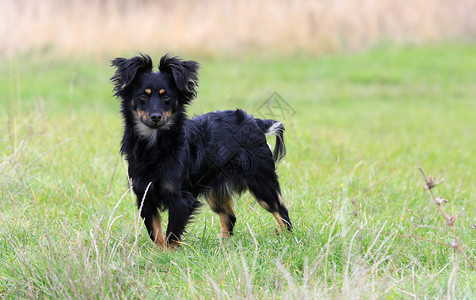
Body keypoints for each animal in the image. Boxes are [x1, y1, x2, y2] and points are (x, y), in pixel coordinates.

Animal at [111, 54, 292, 248]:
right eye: (142, 96)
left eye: (166, 97)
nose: (156, 117)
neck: (154, 143)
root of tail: (256, 122)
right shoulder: (145, 197)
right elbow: (156, 232)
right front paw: (158, 252)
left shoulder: (180, 199)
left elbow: (171, 234)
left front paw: (169, 253)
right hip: (215, 189)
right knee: (229, 217)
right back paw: (223, 246)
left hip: (260, 182)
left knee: (281, 211)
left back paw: (287, 239)